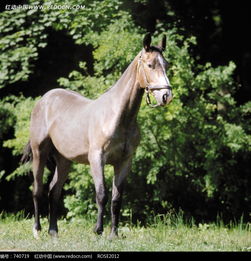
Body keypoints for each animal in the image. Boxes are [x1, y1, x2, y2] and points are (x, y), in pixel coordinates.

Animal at [21, 32, 173, 238]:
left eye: (166, 64)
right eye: (150, 65)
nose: (166, 96)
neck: (118, 117)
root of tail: (44, 100)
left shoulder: (124, 162)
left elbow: (116, 199)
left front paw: (113, 234)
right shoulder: (97, 158)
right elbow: (101, 194)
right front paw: (98, 230)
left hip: (64, 160)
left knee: (54, 191)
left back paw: (53, 231)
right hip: (40, 152)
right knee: (37, 189)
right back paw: (37, 230)